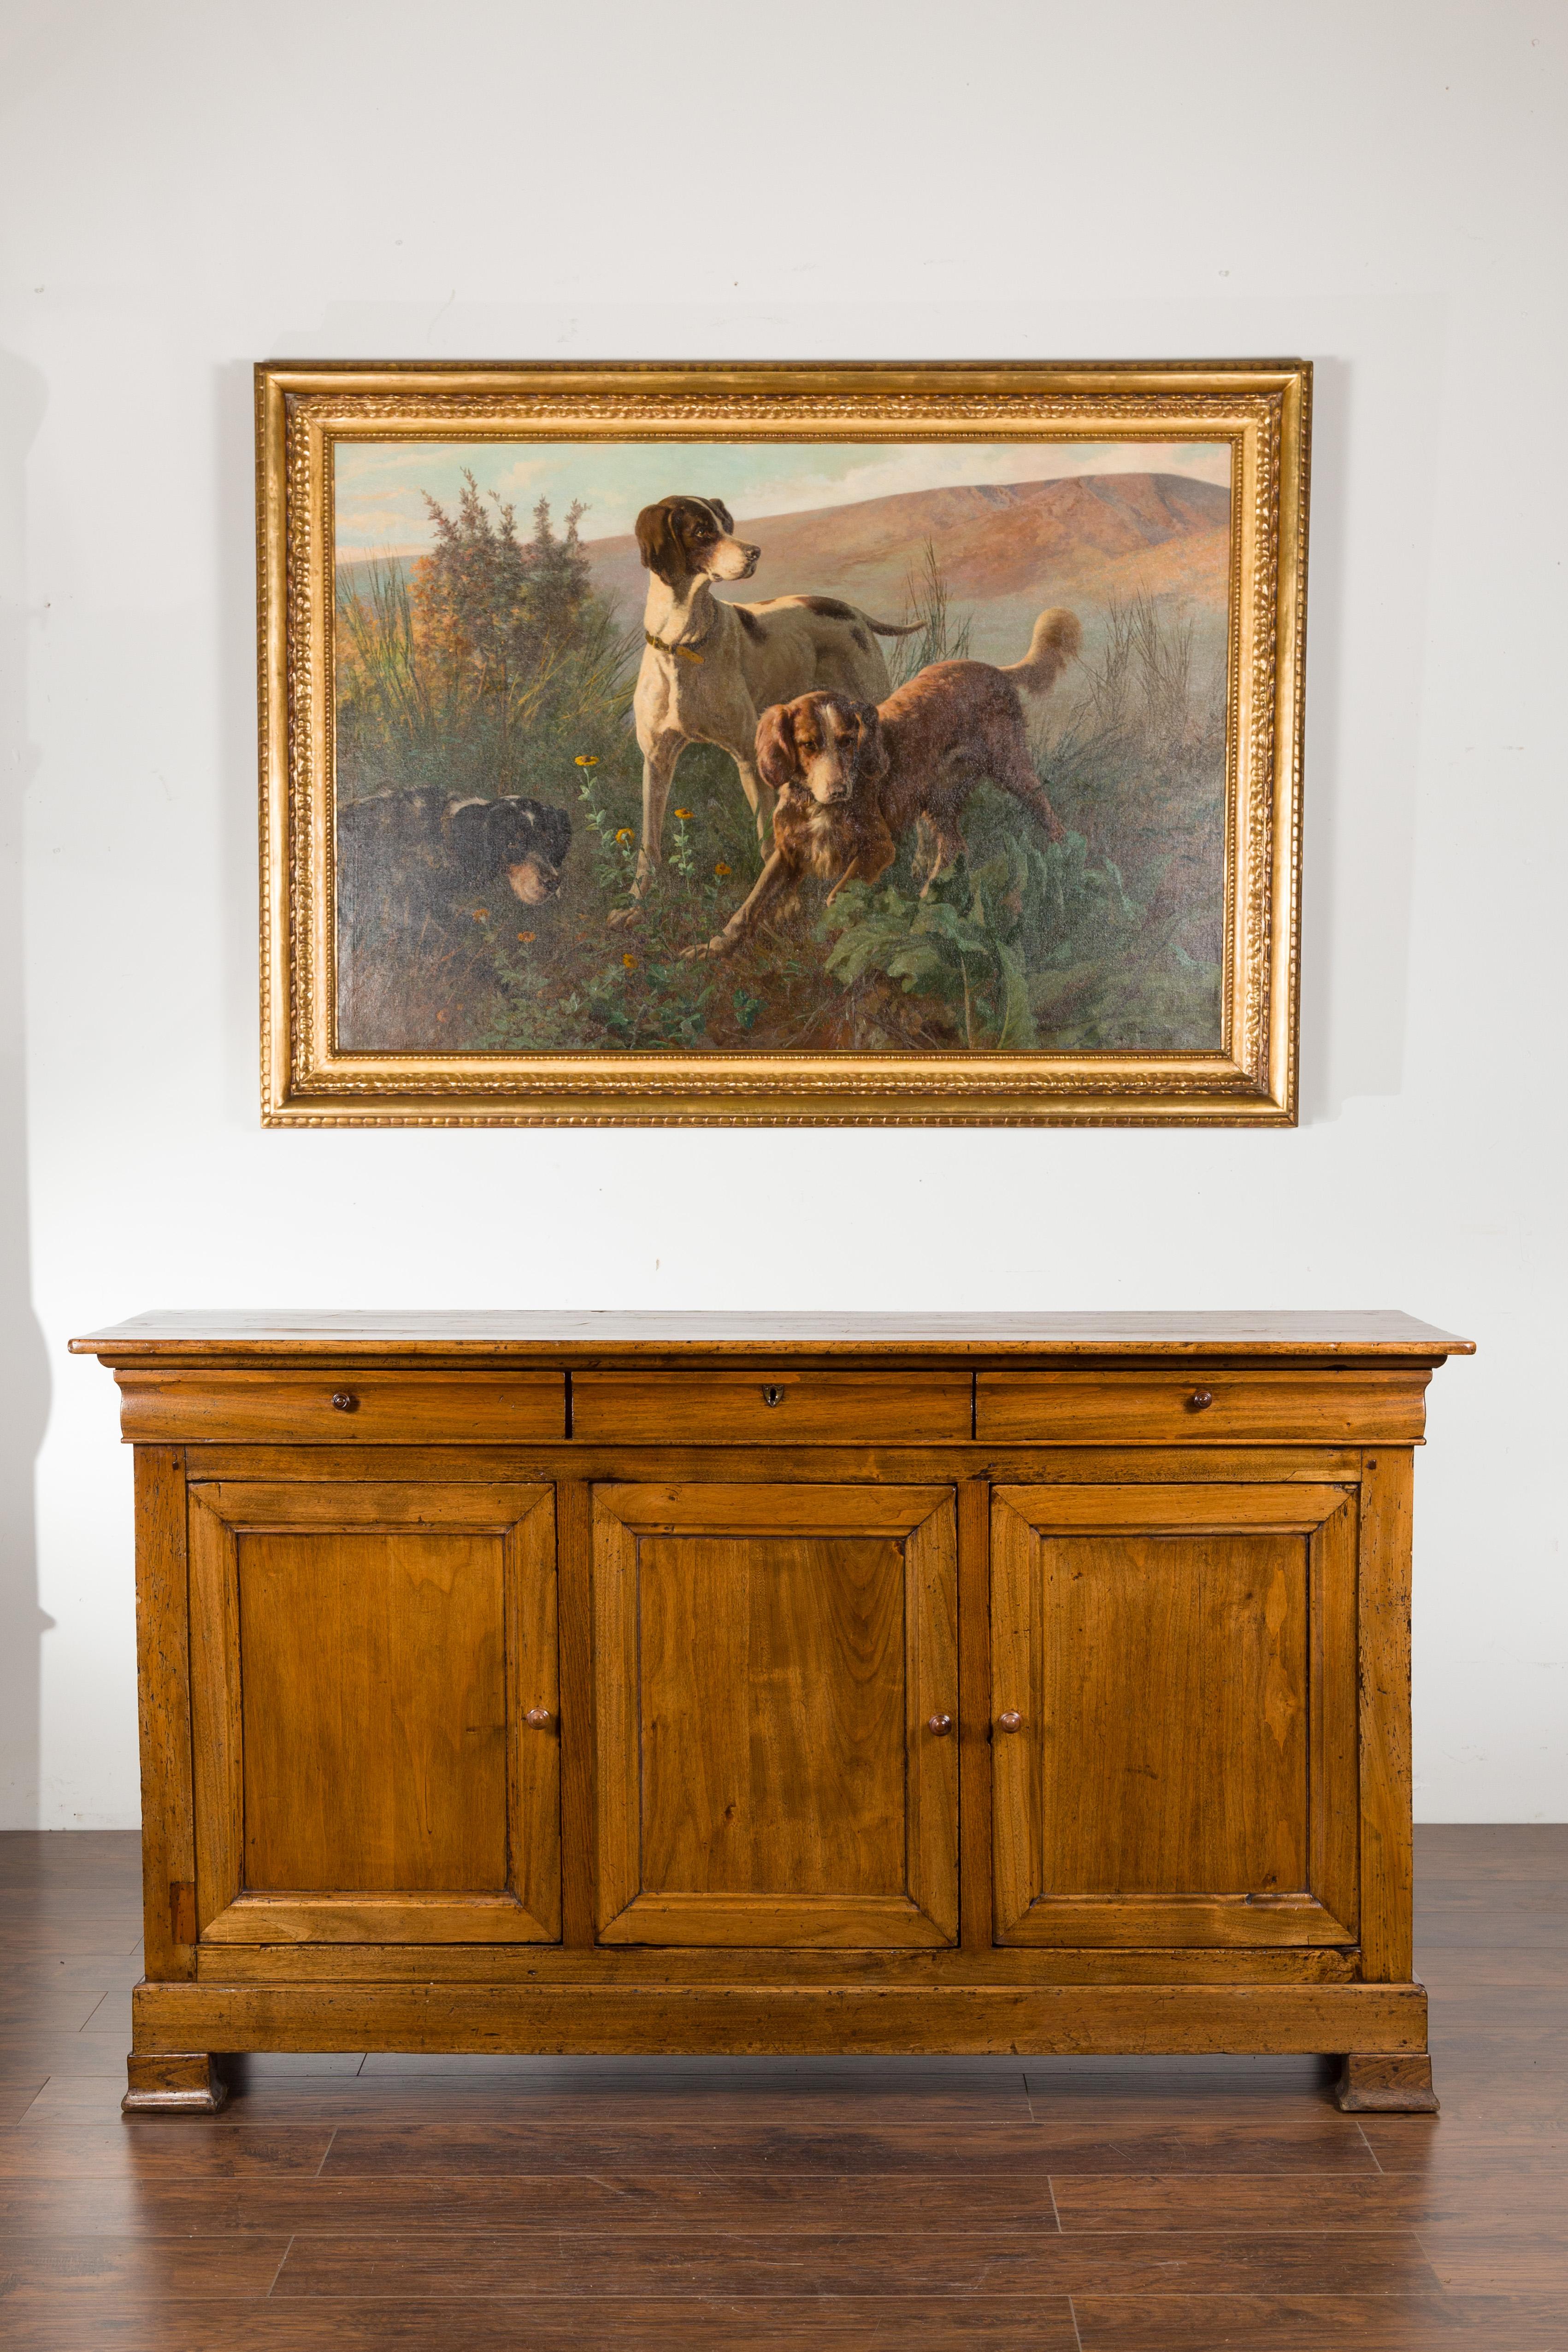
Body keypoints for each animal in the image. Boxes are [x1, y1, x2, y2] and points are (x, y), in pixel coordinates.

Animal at [611, 496, 921, 917]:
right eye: (702, 531)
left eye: (726, 525)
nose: (754, 552)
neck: (685, 642)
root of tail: (851, 610)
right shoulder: (657, 761)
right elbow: (650, 843)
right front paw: (636, 903)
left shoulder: (748, 760)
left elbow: (766, 843)